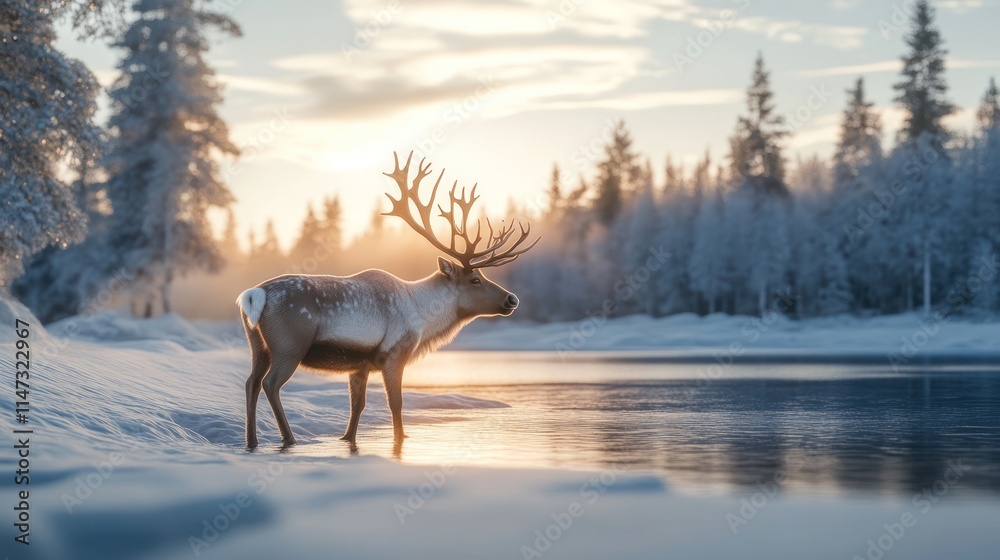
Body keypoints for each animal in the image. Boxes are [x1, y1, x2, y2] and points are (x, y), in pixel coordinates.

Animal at [237, 151, 538, 448]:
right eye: (475, 279)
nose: (512, 299)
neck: (423, 317)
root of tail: (254, 294)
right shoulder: (395, 353)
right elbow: (396, 403)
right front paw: (400, 438)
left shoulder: (359, 364)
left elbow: (357, 408)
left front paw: (347, 439)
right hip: (290, 345)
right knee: (271, 384)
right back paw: (289, 438)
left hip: (258, 345)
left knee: (251, 382)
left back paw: (251, 441)